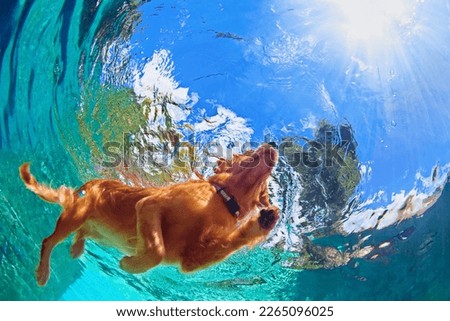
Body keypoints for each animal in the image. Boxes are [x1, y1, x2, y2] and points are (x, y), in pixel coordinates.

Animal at [19, 144, 280, 284]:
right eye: (248, 149)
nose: (274, 143)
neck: (221, 198)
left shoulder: (190, 259)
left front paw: (265, 220)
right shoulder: (149, 205)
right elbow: (156, 250)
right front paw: (131, 264)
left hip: (96, 231)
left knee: (81, 233)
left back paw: (76, 248)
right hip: (75, 216)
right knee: (48, 241)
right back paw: (43, 272)